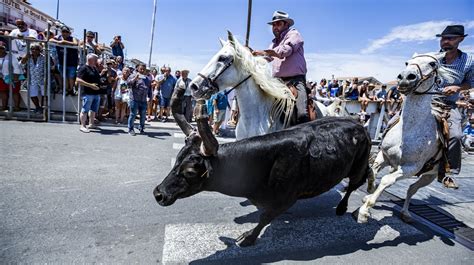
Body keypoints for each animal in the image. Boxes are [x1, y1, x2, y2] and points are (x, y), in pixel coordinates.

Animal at [154, 87, 372, 244]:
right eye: (178, 158)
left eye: (190, 171)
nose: (158, 194)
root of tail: (358, 124)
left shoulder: (285, 199)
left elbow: (265, 218)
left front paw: (248, 238)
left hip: (358, 166)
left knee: (355, 183)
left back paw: (345, 208)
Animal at [360, 52, 456, 224]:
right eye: (407, 62)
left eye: (432, 64)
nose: (405, 77)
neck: (408, 131)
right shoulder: (384, 155)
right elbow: (373, 170)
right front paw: (370, 190)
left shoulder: (411, 168)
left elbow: (386, 180)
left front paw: (365, 210)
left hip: (429, 176)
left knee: (412, 189)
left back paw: (405, 213)